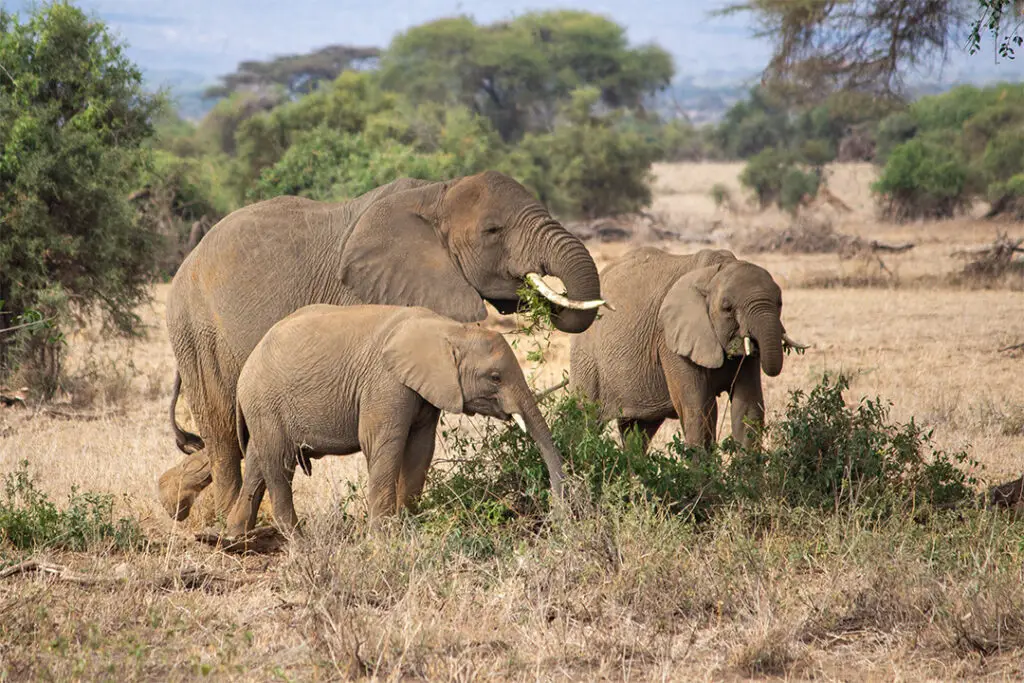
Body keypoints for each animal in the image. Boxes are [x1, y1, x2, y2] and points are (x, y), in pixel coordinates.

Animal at [224, 303, 564, 537]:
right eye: (495, 377)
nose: (555, 516)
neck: (450, 330)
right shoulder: (386, 383)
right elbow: (383, 444)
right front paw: (382, 537)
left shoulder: (424, 390)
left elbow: (420, 449)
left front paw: (409, 525)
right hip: (265, 401)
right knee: (279, 463)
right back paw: (298, 542)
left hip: (263, 406)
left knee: (257, 460)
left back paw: (236, 536)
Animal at [568, 247, 806, 452]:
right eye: (727, 308)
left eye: (779, 303)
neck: (714, 273)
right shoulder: (669, 340)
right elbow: (699, 410)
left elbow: (747, 408)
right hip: (587, 358)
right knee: (585, 419)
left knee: (638, 431)